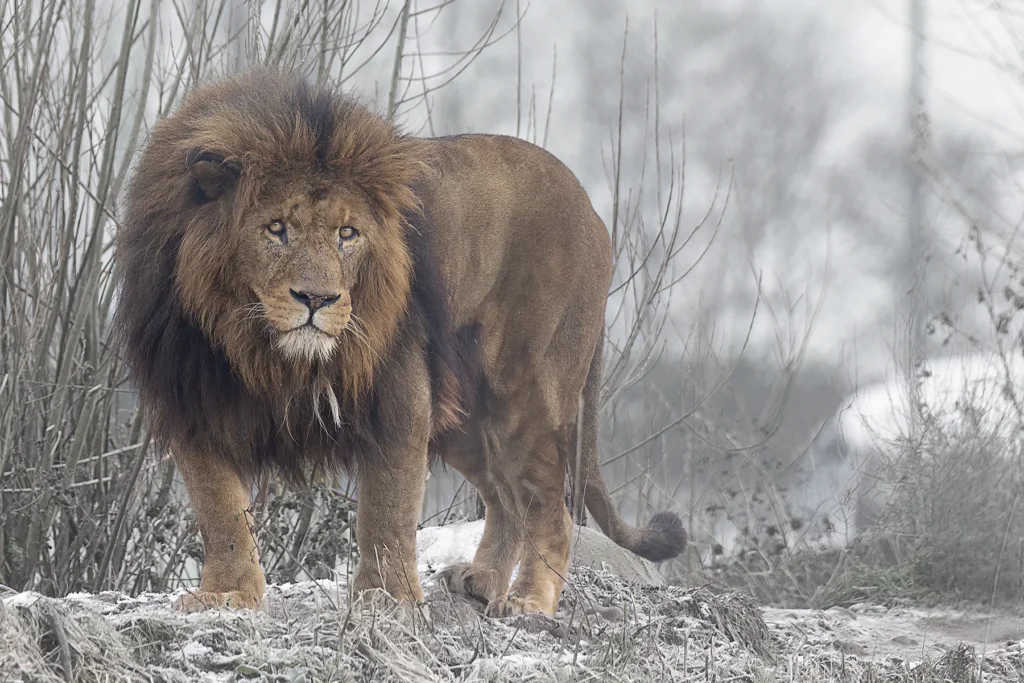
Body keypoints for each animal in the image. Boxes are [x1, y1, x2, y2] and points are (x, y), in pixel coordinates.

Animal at [113, 69, 686, 617]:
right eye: (276, 228)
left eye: (347, 234)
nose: (317, 299)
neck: (260, 346)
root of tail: (593, 211)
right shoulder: (190, 399)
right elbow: (221, 512)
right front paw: (228, 595)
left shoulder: (398, 392)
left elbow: (387, 509)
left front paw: (387, 599)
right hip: (468, 418)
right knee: (506, 497)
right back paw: (483, 579)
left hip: (527, 394)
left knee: (550, 508)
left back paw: (528, 601)